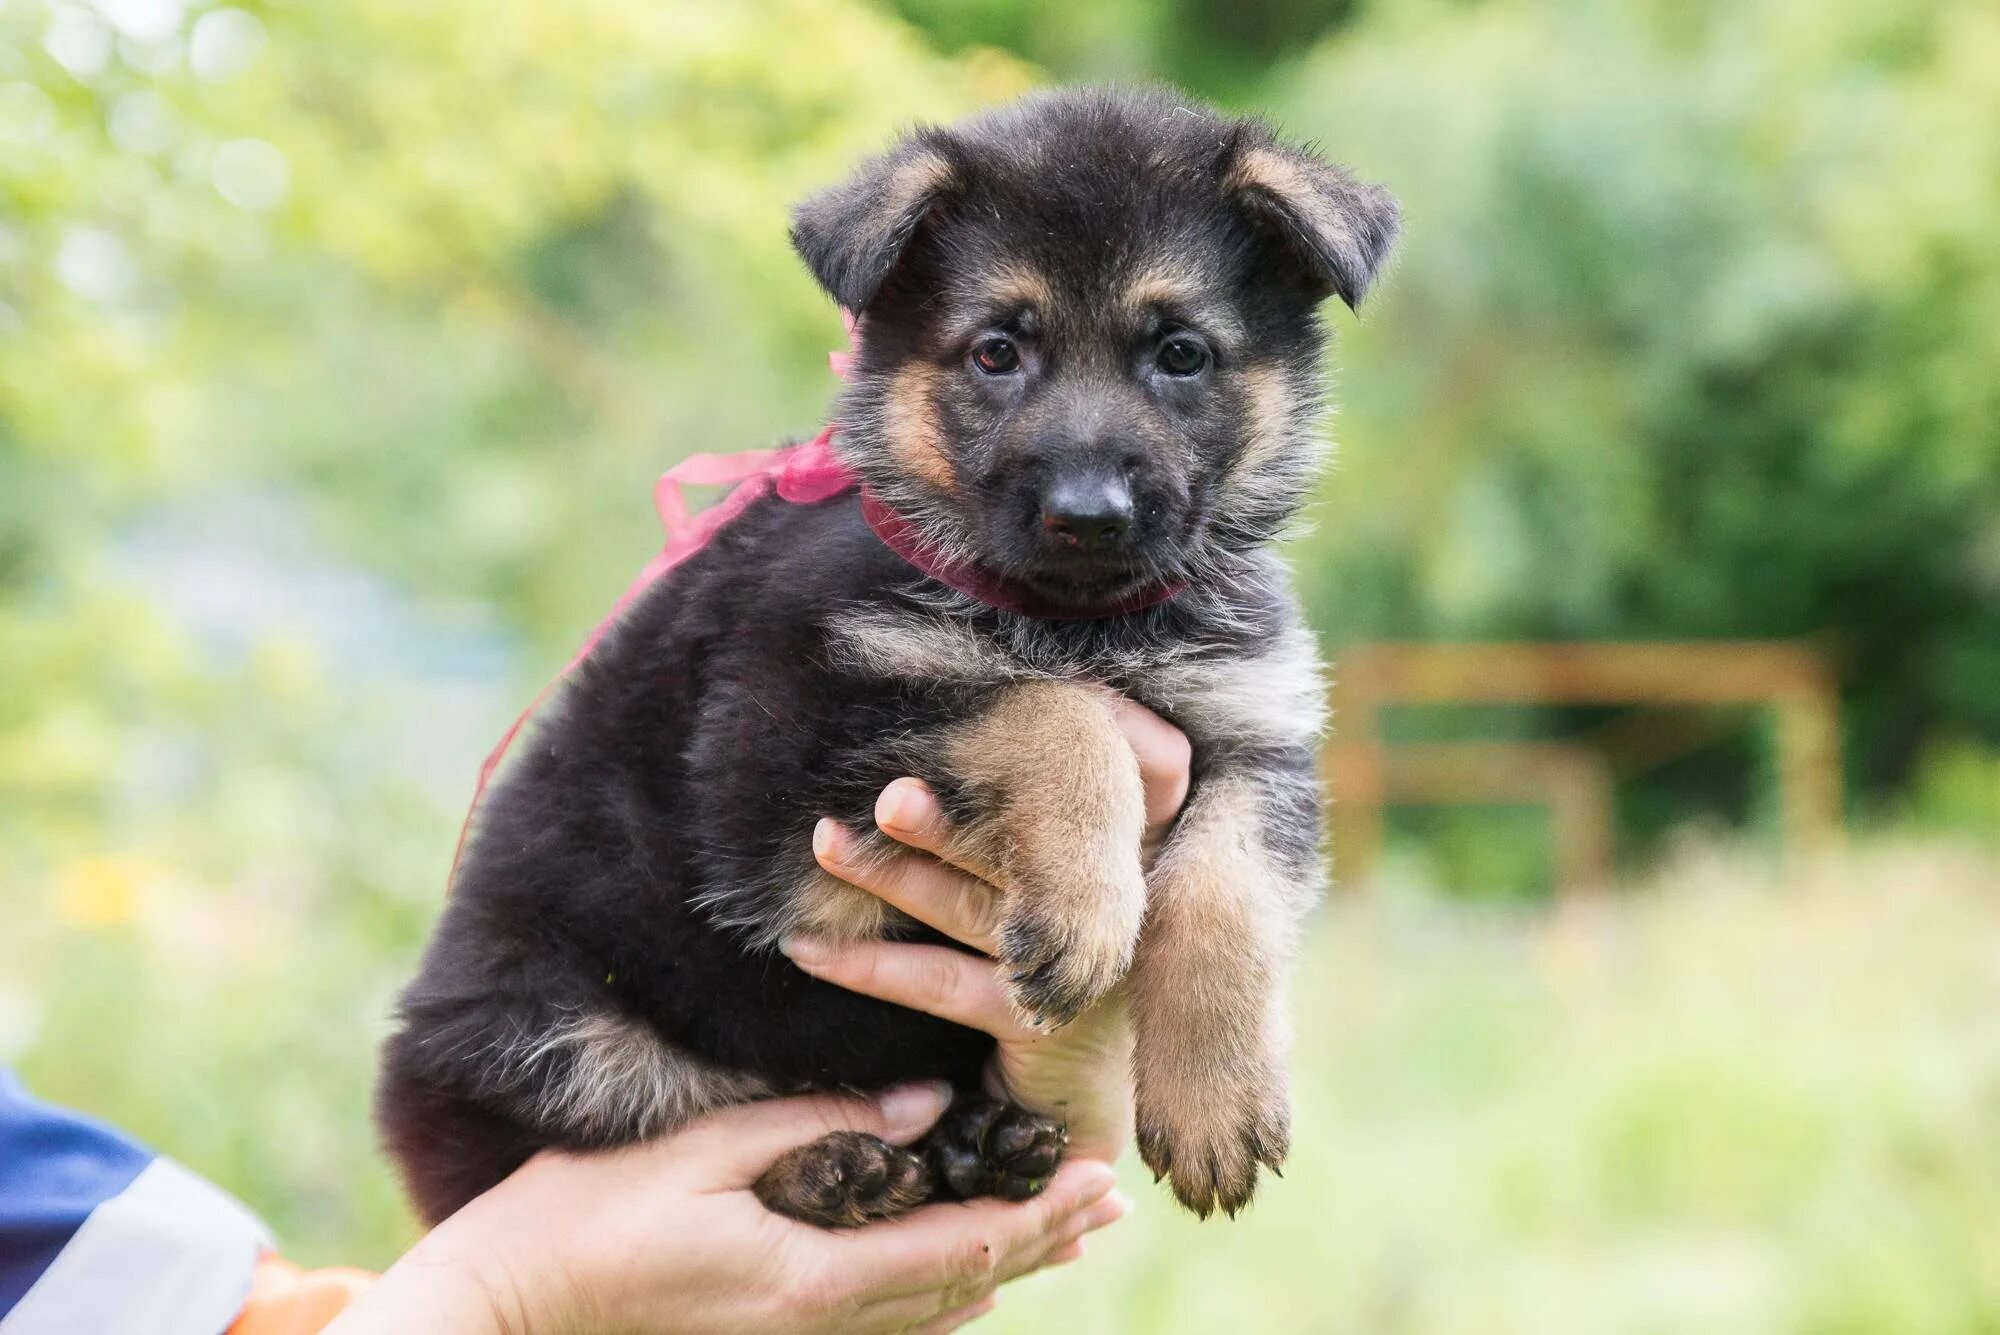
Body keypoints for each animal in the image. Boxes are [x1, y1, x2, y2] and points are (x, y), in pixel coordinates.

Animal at [382, 85, 1400, 1231]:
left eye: (1180, 354)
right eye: (996, 352)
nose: (1087, 516)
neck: (1082, 620)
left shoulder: (1256, 736)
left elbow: (1227, 891)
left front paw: (1217, 1099)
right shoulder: (783, 777)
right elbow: (1047, 708)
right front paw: (1087, 904)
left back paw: (979, 1142)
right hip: (548, 1030)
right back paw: (833, 1168)